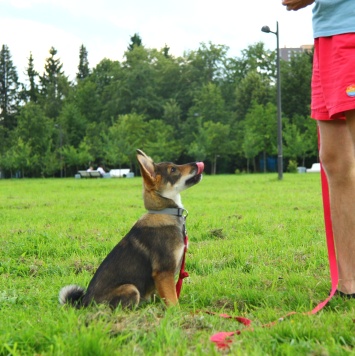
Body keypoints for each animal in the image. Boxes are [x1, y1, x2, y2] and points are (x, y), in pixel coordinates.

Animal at [59, 149, 204, 308]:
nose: (197, 163)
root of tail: (84, 304)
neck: (165, 211)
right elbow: (173, 300)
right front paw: (176, 312)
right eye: (173, 170)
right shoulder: (164, 272)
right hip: (131, 288)